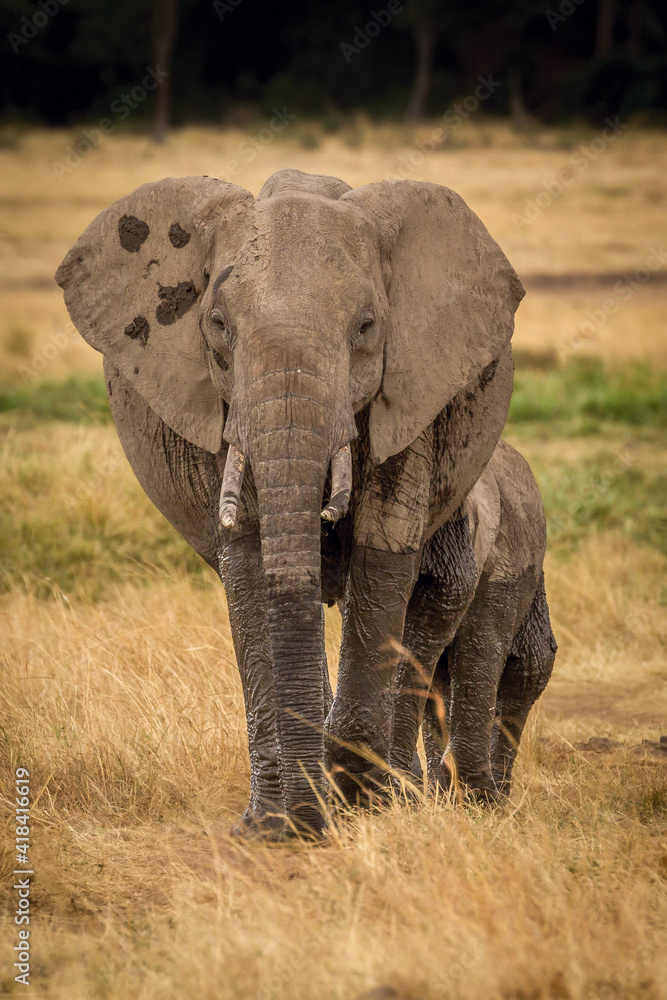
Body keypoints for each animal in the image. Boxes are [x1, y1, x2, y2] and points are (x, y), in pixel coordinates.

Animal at [56, 167, 526, 838]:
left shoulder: (413, 393)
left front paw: (358, 804)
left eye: (366, 327)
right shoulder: (221, 404)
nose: (311, 824)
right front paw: (272, 826)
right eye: (217, 325)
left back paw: (391, 790)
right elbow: (250, 562)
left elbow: (383, 551)